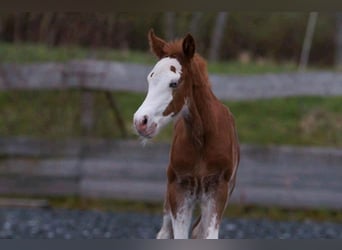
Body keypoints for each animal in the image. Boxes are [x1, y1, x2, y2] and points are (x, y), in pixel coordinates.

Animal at [134, 29, 240, 238]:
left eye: (174, 83)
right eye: (150, 79)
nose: (141, 121)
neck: (202, 138)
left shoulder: (218, 191)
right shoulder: (179, 190)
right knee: (165, 232)